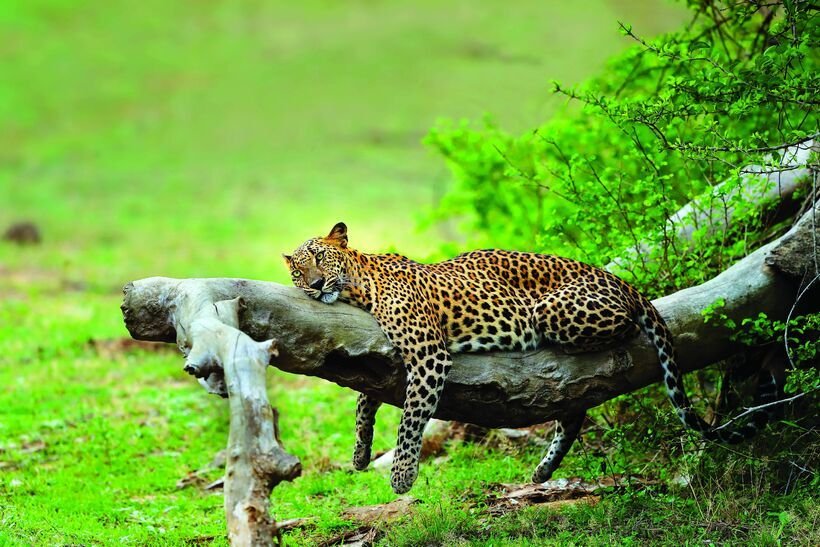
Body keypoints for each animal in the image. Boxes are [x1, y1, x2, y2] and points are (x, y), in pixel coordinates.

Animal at [284, 222, 777, 494]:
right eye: (298, 269)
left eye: (321, 257)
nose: (314, 284)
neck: (359, 285)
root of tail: (619, 279)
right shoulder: (385, 356)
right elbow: (364, 401)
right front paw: (361, 453)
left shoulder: (427, 353)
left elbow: (409, 421)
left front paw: (402, 476)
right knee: (575, 408)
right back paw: (545, 469)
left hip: (555, 311)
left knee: (623, 331)